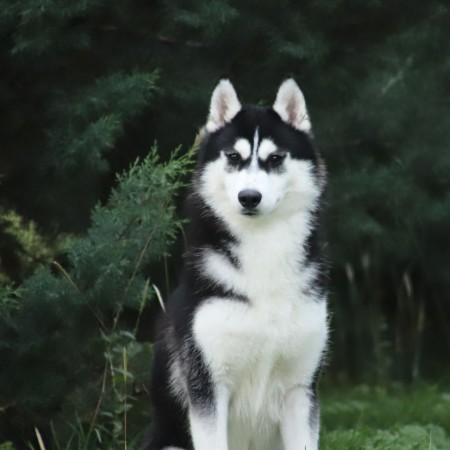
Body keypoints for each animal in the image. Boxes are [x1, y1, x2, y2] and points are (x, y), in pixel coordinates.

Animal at [143, 79, 326, 448]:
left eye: (275, 158)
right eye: (233, 157)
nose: (249, 197)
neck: (264, 251)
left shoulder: (301, 389)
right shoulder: (206, 386)